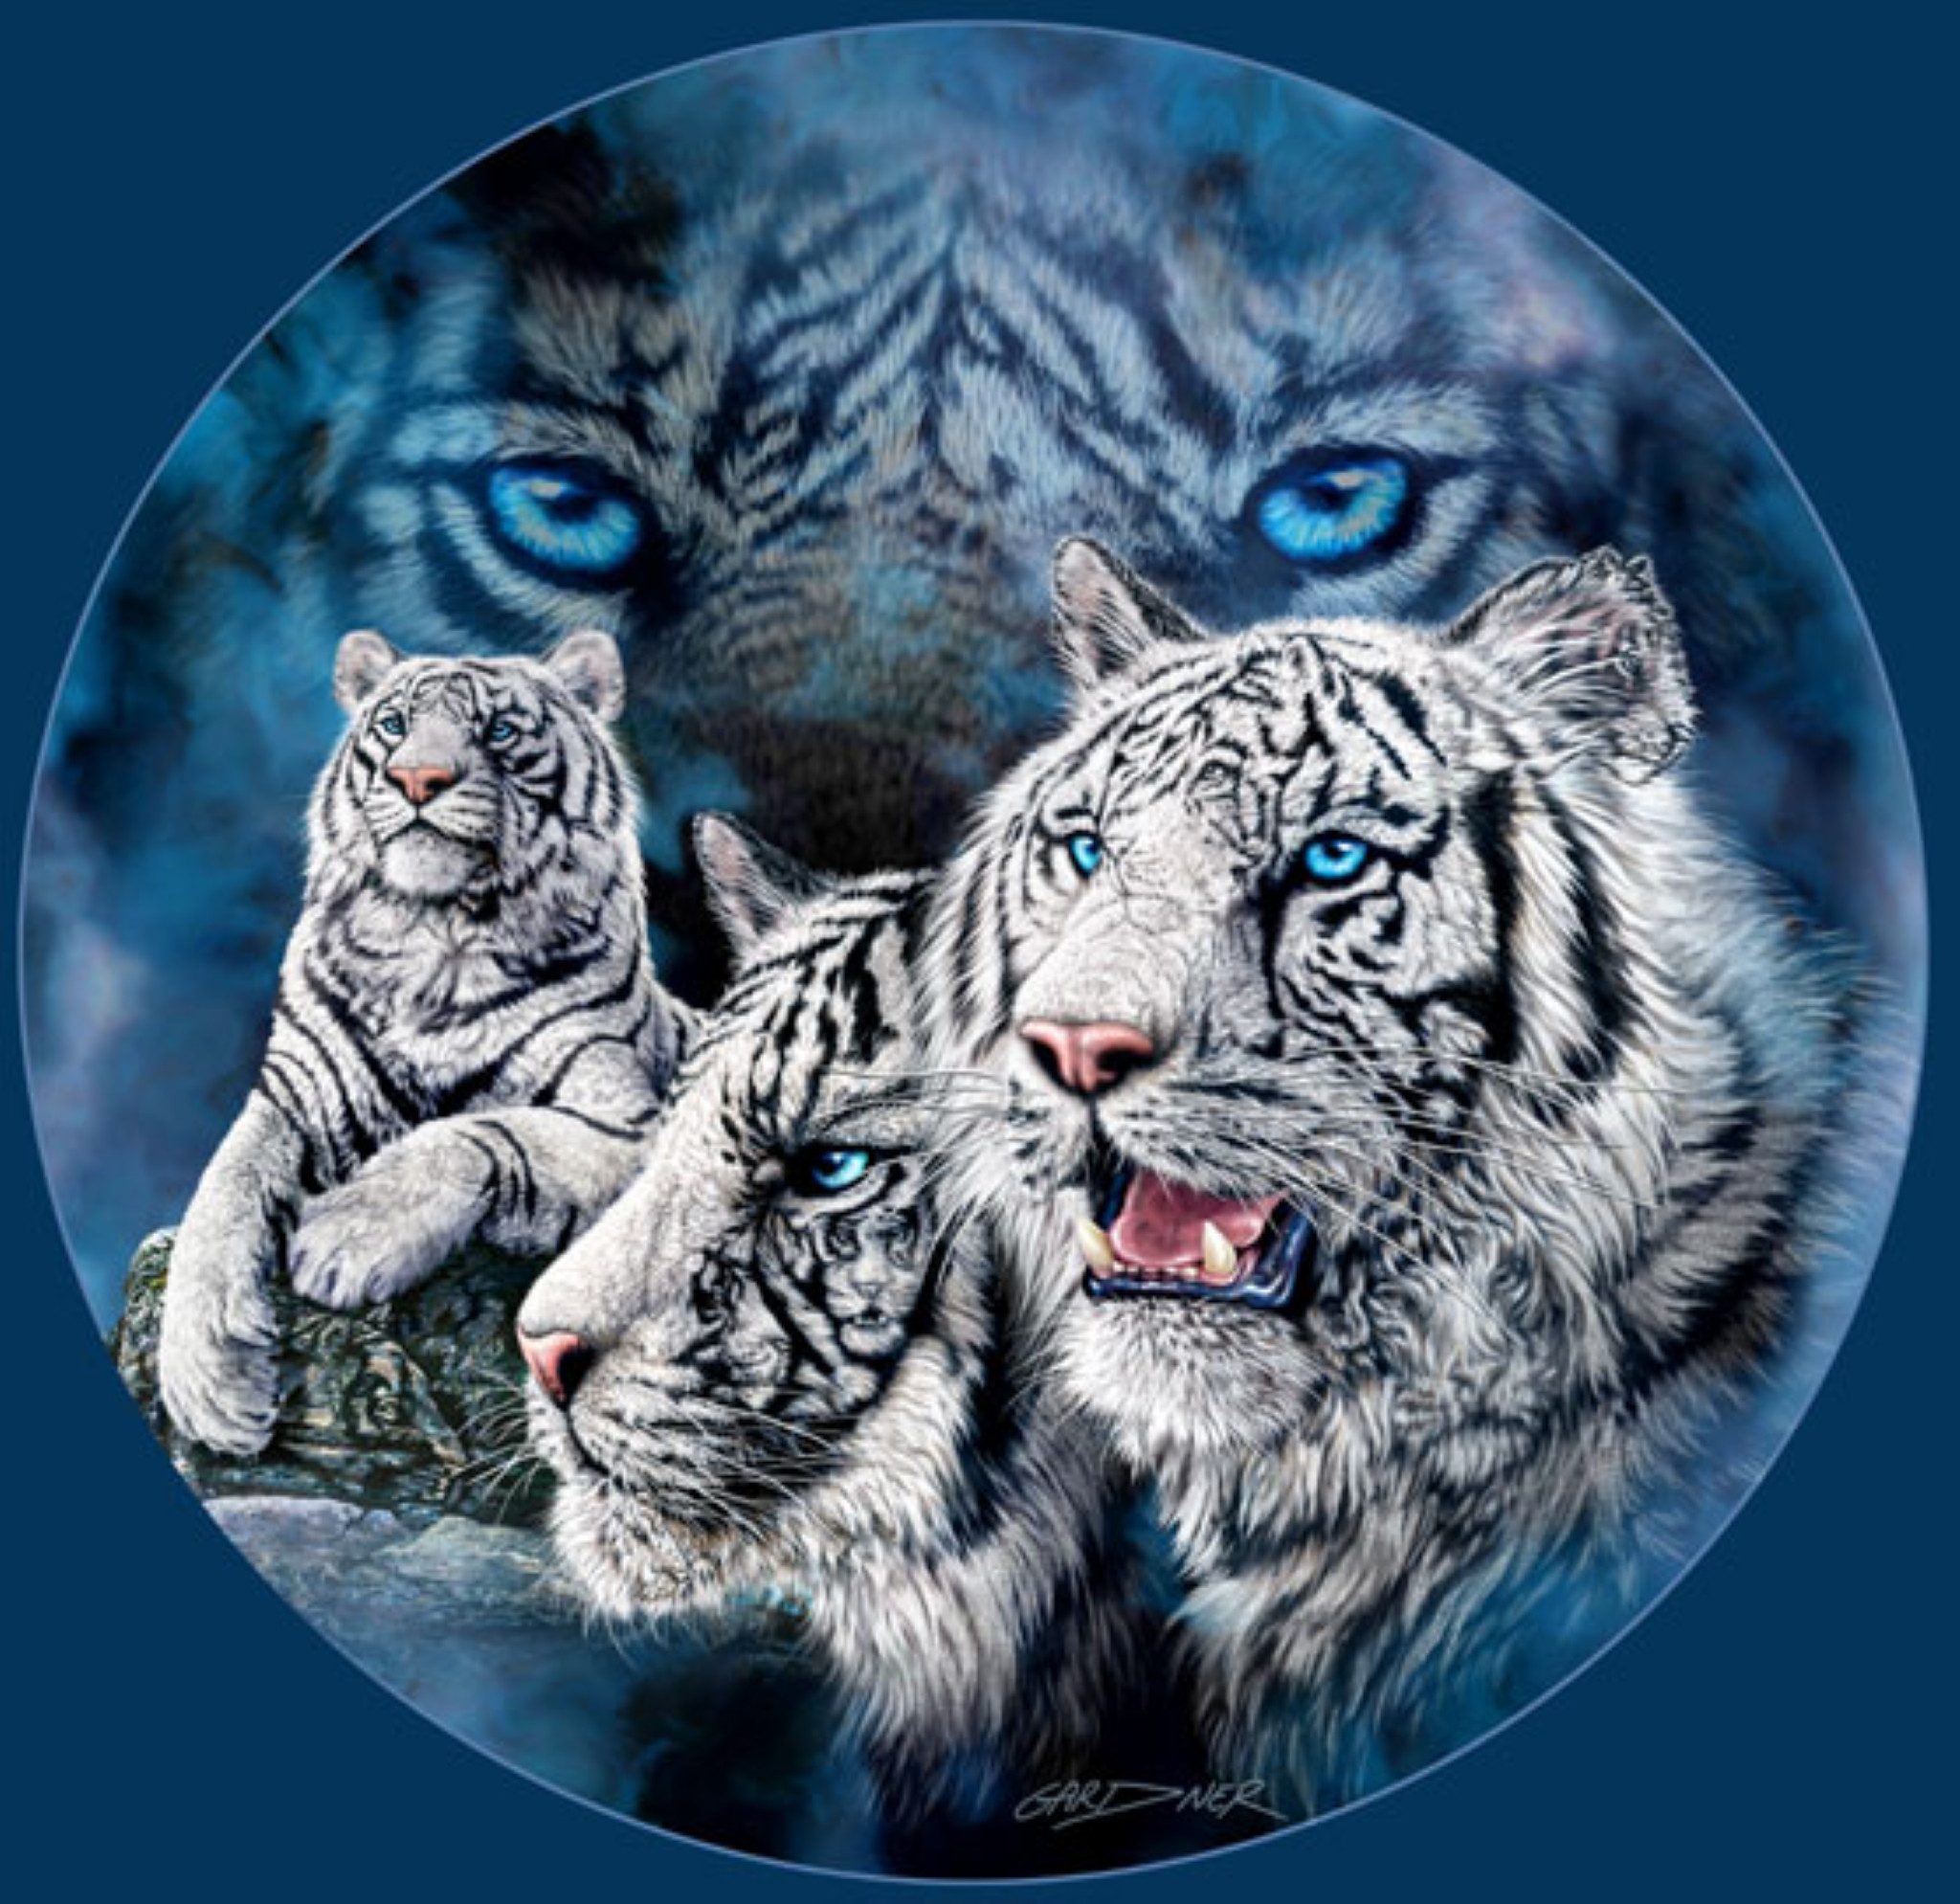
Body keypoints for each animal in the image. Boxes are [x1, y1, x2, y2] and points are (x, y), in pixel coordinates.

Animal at [157, 629, 684, 1456]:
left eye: (499, 729)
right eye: (394, 724)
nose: (416, 779)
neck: (440, 939)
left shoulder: (630, 1118)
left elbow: (477, 1130)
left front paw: (343, 1241)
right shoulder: (293, 1093)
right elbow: (222, 1191)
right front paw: (208, 1382)